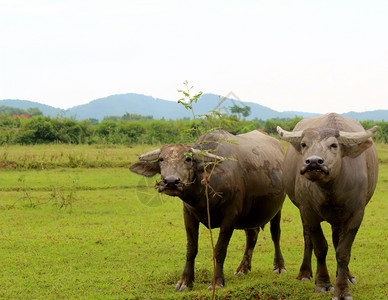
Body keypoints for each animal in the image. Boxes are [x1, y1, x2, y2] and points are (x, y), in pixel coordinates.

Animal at [130, 129, 284, 290]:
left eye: (188, 159)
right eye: (161, 159)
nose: (171, 182)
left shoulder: (230, 217)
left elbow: (220, 249)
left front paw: (217, 282)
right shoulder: (188, 214)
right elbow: (191, 248)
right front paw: (185, 281)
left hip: (278, 208)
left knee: (275, 234)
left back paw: (279, 266)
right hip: (251, 214)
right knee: (252, 236)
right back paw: (242, 268)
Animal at [278, 113, 378, 300]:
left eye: (334, 145)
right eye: (304, 144)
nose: (313, 162)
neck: (331, 190)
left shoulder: (356, 214)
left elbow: (343, 252)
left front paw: (343, 289)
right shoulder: (308, 211)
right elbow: (320, 247)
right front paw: (323, 284)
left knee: (336, 240)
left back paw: (348, 276)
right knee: (308, 238)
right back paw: (305, 273)